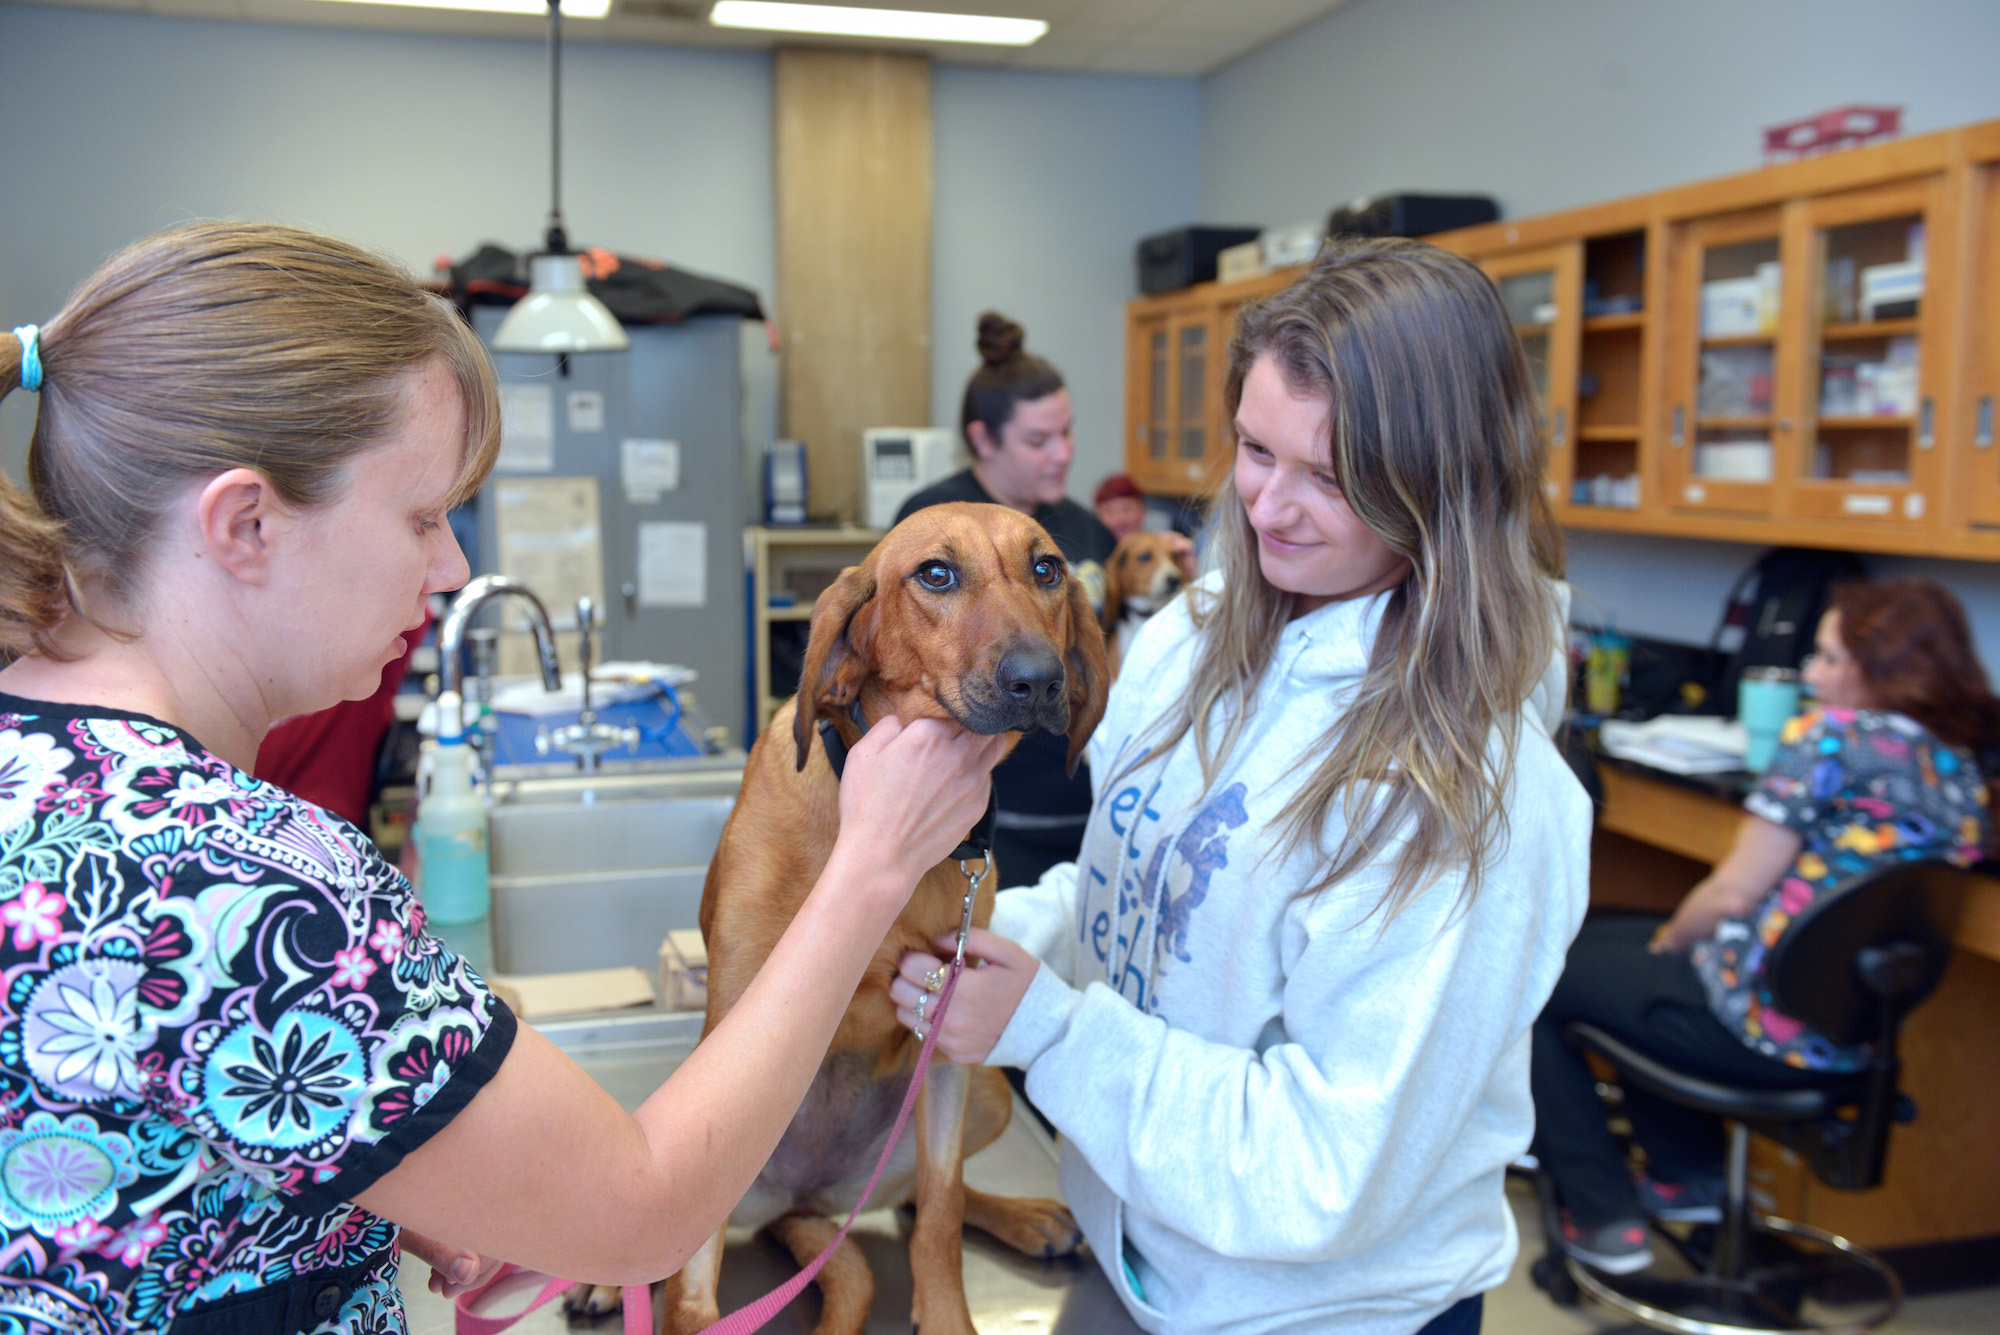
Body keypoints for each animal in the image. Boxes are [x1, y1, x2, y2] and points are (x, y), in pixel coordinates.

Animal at [632, 503, 1104, 1335]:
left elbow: (941, 1213)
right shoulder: (733, 1024)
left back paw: (1024, 1217)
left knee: (926, 1196)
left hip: (983, 1091)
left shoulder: (946, 1044)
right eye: (936, 574)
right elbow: (689, 1290)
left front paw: (946, 1317)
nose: (1040, 678)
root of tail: (802, 1199)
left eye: (1047, 568)